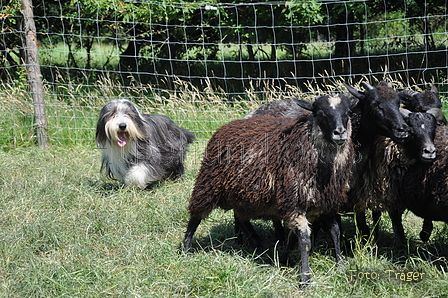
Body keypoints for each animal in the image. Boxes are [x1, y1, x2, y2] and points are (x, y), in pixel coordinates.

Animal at [182, 93, 356, 284]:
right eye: (320, 113)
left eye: (348, 113)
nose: (340, 132)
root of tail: (227, 125)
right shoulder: (292, 201)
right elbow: (304, 240)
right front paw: (304, 278)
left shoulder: (325, 202)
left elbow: (334, 232)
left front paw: (340, 266)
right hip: (208, 183)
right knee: (196, 217)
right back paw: (186, 248)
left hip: (245, 195)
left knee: (240, 217)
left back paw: (257, 245)